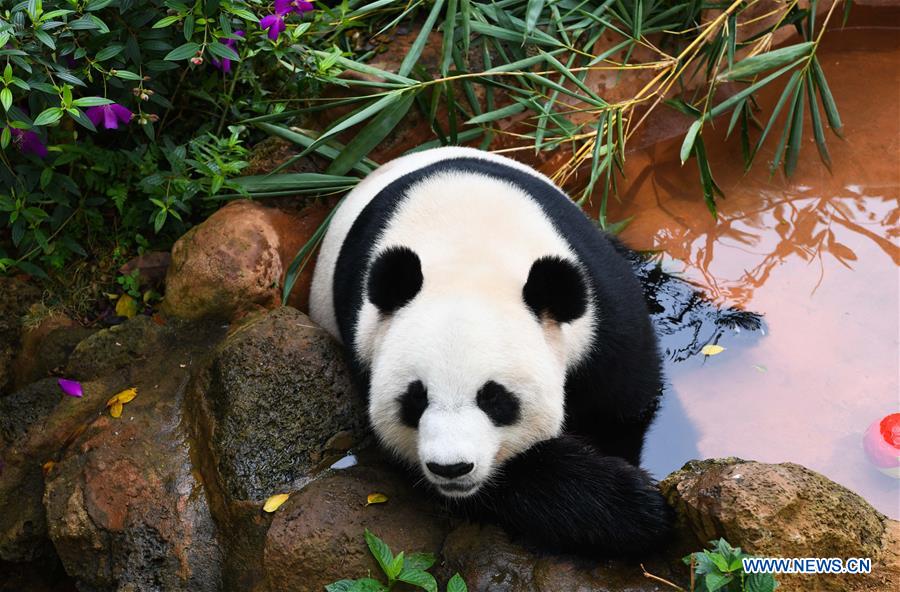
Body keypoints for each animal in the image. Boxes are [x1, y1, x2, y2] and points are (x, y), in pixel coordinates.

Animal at [309, 146, 672, 555]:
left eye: (494, 398)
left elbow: (621, 406)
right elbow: (508, 480)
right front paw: (633, 507)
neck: (469, 260)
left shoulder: (600, 312)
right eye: (415, 398)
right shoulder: (366, 347)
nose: (450, 468)